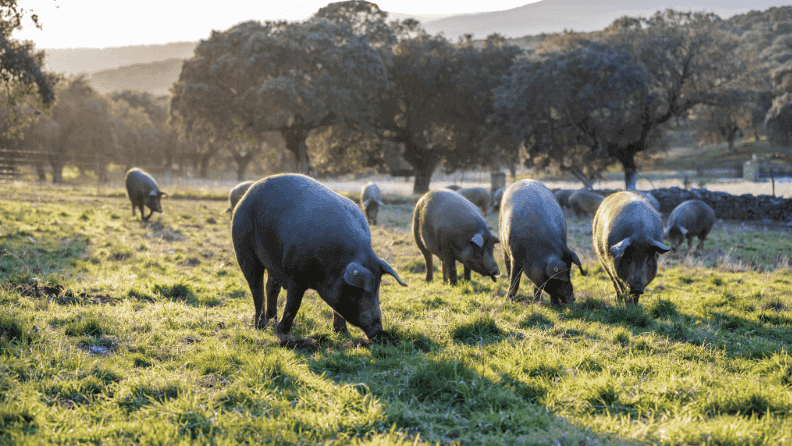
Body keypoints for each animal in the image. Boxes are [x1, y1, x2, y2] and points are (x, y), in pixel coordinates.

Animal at [230, 173, 408, 338]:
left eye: (378, 288)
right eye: (357, 291)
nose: (379, 331)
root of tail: (246, 194)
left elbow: (336, 309)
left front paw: (342, 333)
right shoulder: (296, 276)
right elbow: (293, 305)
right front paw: (283, 333)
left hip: (273, 264)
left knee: (271, 288)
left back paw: (271, 323)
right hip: (244, 250)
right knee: (256, 288)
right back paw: (261, 327)